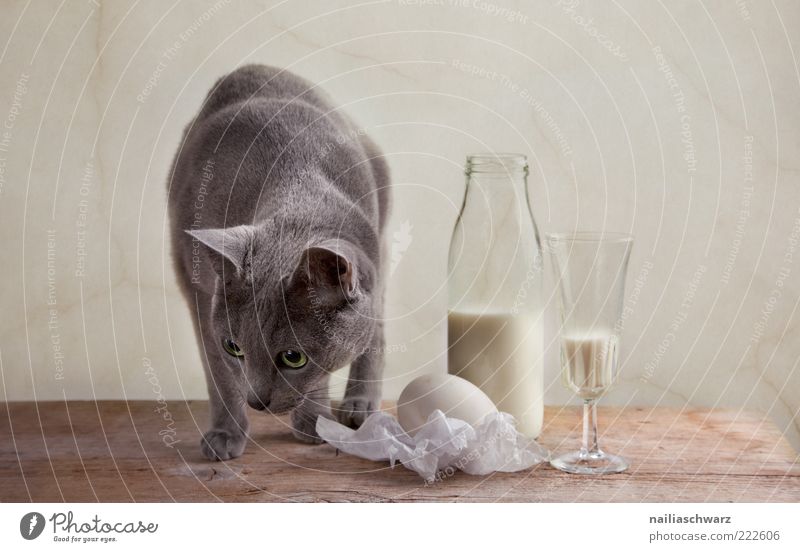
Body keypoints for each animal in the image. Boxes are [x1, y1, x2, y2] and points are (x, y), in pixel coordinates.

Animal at [168, 64, 390, 460]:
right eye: (234, 347)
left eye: (293, 357)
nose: (257, 402)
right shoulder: (197, 292)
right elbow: (219, 374)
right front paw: (226, 435)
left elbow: (322, 372)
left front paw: (314, 423)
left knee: (376, 328)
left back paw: (359, 407)